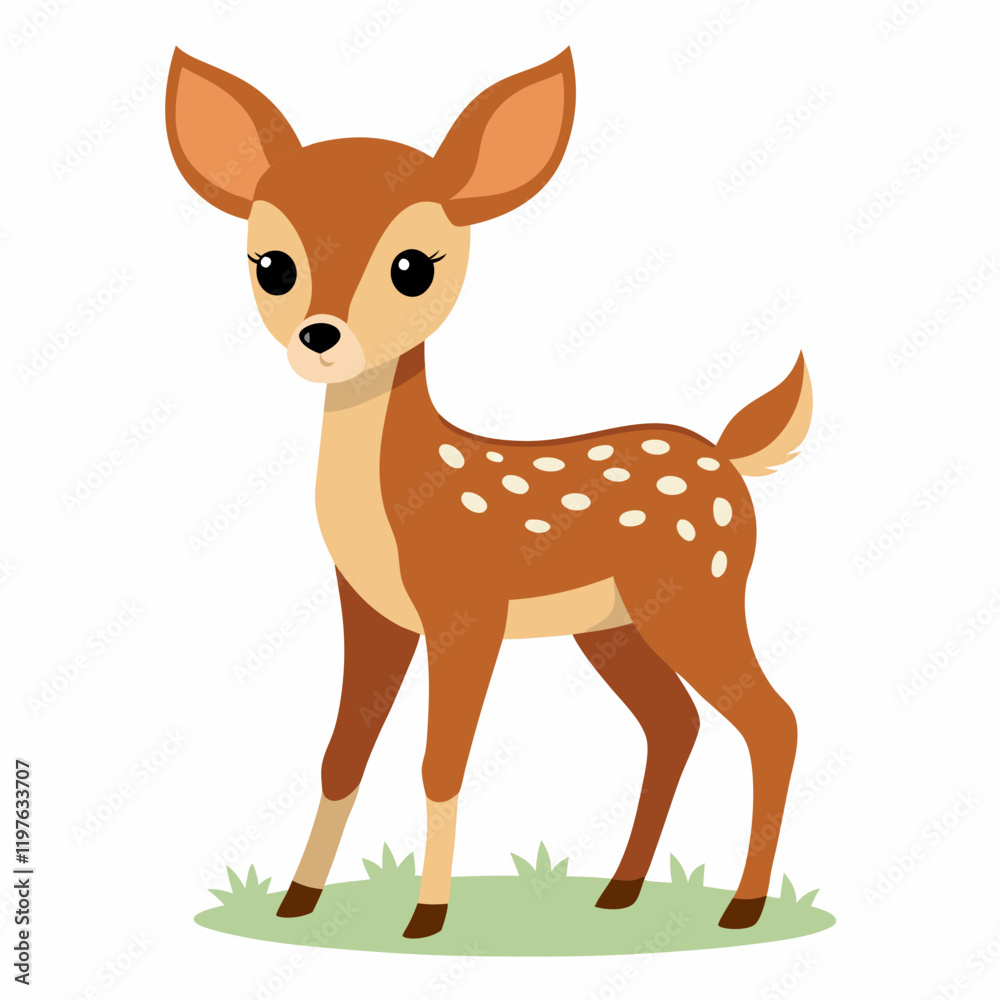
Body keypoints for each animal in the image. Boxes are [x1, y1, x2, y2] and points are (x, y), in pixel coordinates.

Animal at [165, 46, 811, 940]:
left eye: (412, 266)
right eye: (274, 265)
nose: (319, 335)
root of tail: (727, 458)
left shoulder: (465, 607)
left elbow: (441, 760)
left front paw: (426, 917)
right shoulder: (369, 608)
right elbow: (342, 754)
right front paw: (299, 902)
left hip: (700, 592)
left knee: (771, 720)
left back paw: (742, 908)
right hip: (614, 626)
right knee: (673, 724)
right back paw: (621, 892)